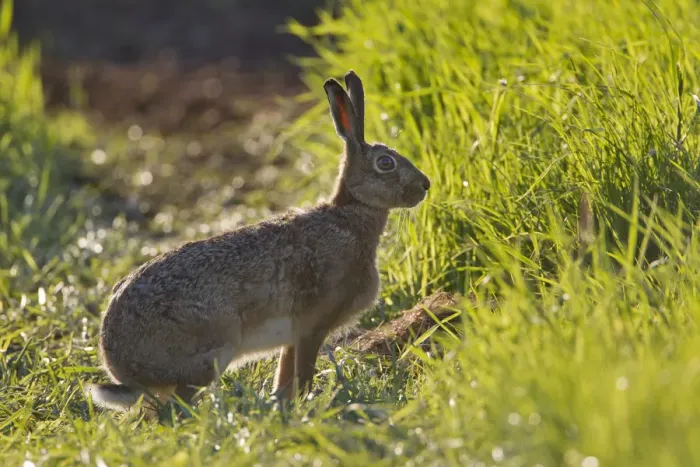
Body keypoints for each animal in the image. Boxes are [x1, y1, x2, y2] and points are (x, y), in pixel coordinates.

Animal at [84, 70, 431, 413]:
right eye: (385, 163)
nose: (425, 185)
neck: (349, 214)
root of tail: (122, 367)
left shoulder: (294, 336)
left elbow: (286, 375)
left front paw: (283, 407)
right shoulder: (313, 324)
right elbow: (303, 374)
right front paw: (304, 408)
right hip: (213, 353)